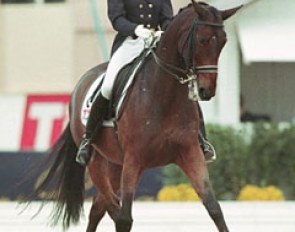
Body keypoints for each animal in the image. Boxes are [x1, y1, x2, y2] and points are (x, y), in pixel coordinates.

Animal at [29, 1, 243, 232]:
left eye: (223, 42)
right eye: (202, 39)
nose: (206, 91)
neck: (164, 96)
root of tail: (82, 82)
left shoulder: (191, 153)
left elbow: (214, 208)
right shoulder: (134, 159)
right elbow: (124, 218)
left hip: (115, 164)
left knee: (99, 206)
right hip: (97, 163)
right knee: (111, 206)